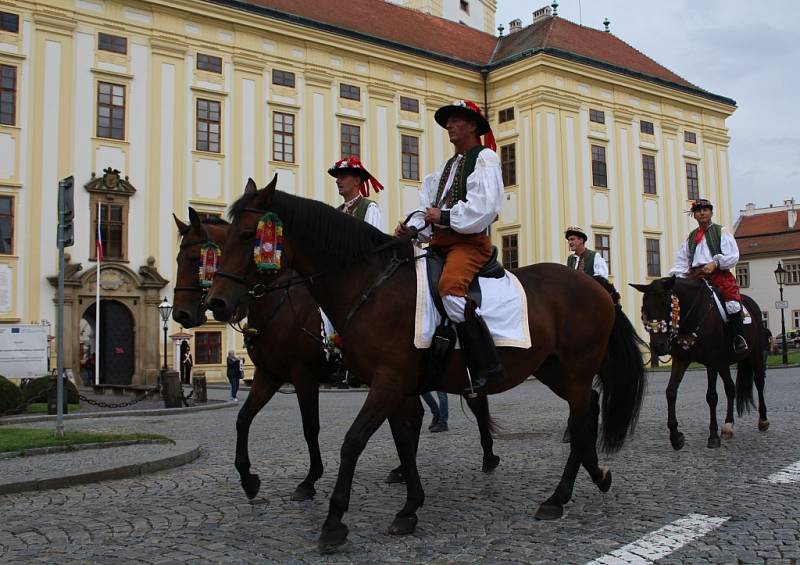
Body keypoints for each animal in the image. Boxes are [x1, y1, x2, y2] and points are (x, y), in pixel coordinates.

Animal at [172, 205, 500, 500]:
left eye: (195, 259)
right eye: (178, 258)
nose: (182, 314)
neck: (279, 304)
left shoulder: (303, 376)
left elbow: (310, 427)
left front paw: (309, 480)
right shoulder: (270, 375)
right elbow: (243, 418)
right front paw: (248, 479)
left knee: (473, 402)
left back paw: (488, 455)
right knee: (419, 414)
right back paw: (403, 470)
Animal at [632, 274, 768, 450]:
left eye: (666, 304)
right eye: (644, 308)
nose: (658, 346)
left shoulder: (712, 362)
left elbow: (711, 396)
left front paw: (713, 436)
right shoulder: (681, 360)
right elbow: (671, 392)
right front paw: (675, 437)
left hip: (754, 354)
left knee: (759, 382)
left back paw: (763, 420)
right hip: (723, 363)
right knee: (731, 388)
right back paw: (728, 425)